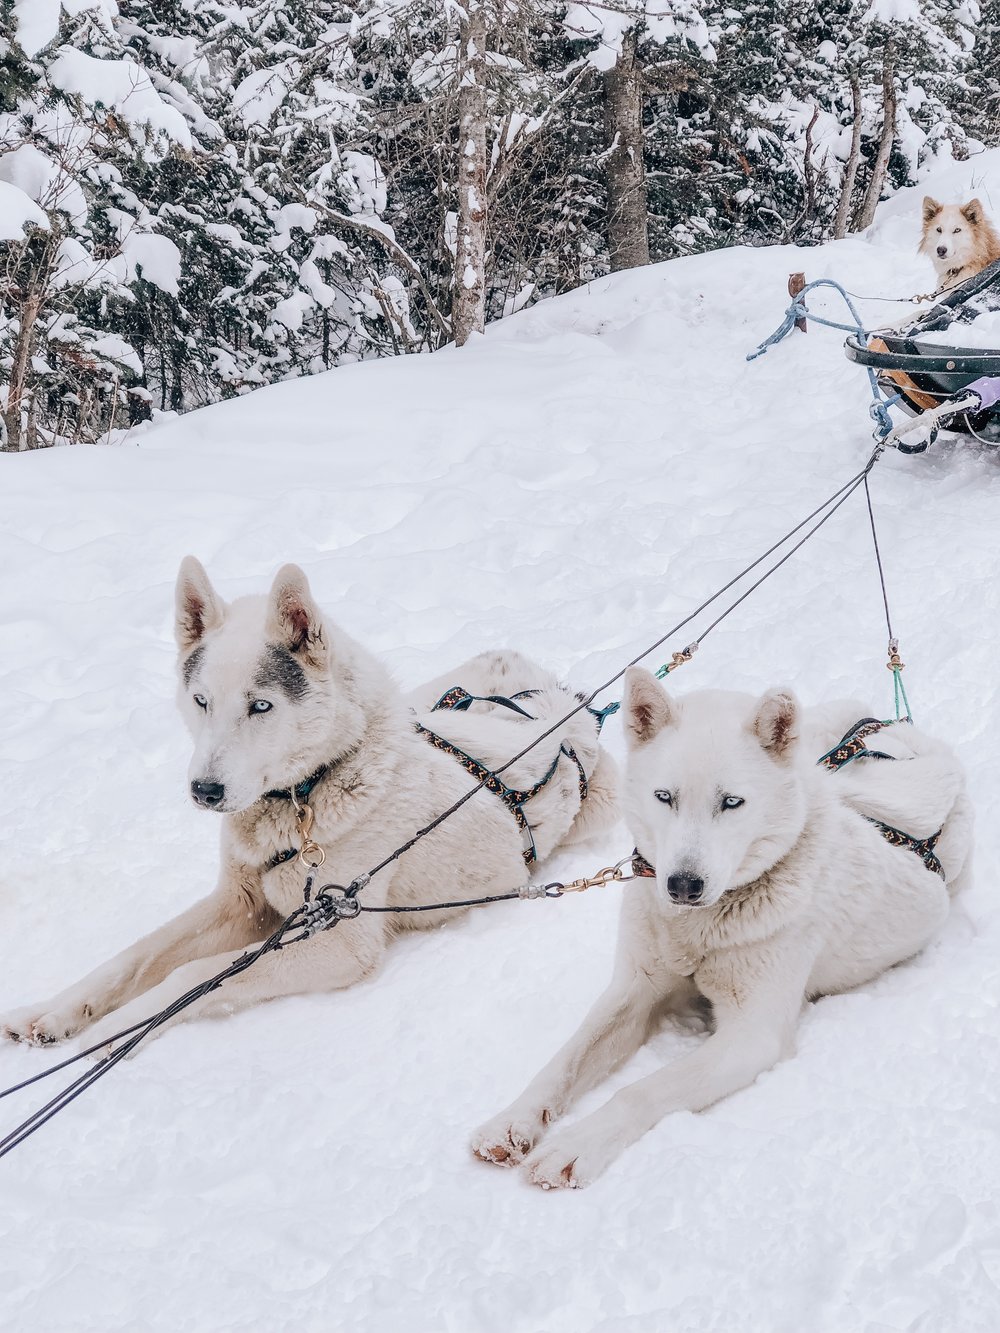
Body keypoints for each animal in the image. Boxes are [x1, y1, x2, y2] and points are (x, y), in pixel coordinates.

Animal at [1, 559, 618, 1050]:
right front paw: (54, 1011)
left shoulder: (339, 940)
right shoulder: (238, 903)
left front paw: (108, 1037)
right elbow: (134, 956)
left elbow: (189, 980)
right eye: (201, 700)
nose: (204, 791)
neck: (304, 801)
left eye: (261, 705)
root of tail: (561, 700)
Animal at [474, 671, 976, 1194]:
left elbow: (641, 1090)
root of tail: (897, 731)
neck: (697, 930)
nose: (682, 885)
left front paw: (576, 1146)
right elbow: (564, 1061)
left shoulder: (752, 1036)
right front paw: (513, 1120)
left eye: (732, 802)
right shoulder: (634, 989)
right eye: (664, 797)